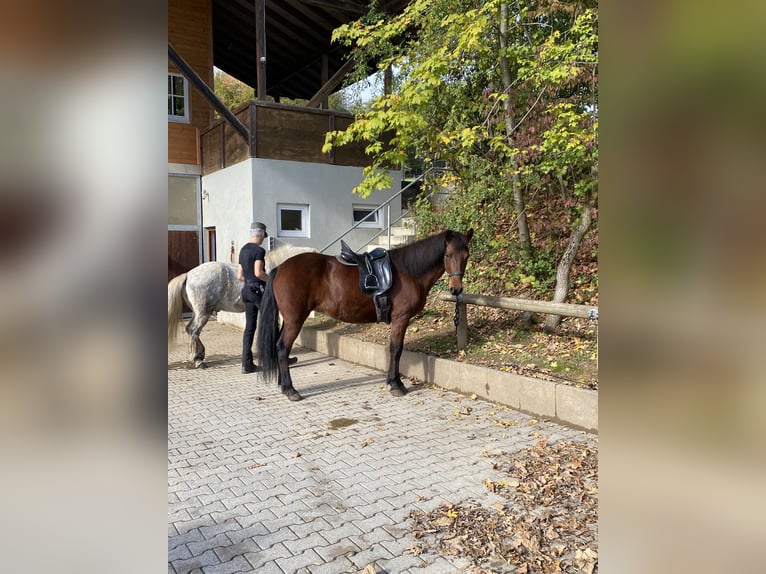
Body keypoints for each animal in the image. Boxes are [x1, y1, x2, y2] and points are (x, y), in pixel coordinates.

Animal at [168, 246, 316, 368]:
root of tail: (188, 275)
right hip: (203, 313)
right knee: (194, 330)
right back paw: (198, 361)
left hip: (199, 312)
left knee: (191, 330)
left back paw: (199, 355)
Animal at [258, 228, 474, 400]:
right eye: (448, 255)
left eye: (466, 256)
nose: (456, 289)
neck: (409, 272)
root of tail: (279, 268)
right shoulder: (400, 319)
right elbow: (396, 350)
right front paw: (395, 385)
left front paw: (394, 382)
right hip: (295, 319)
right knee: (282, 348)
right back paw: (290, 389)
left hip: (288, 320)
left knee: (279, 346)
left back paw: (283, 385)